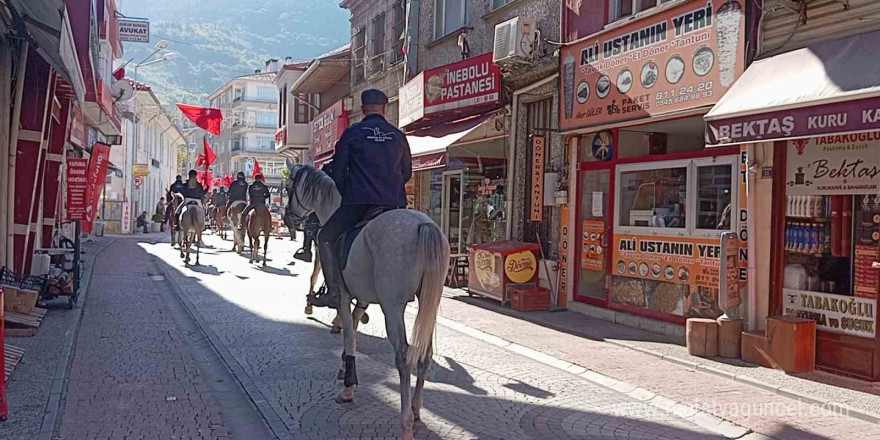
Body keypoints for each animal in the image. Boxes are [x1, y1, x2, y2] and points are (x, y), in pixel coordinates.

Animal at [288, 163, 450, 438]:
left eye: (289, 187)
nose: (289, 216)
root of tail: (424, 225)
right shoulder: (361, 298)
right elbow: (353, 327)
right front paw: (345, 367)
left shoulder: (344, 297)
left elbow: (349, 335)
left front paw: (348, 387)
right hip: (431, 302)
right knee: (425, 354)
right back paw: (416, 408)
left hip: (392, 306)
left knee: (403, 356)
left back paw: (406, 421)